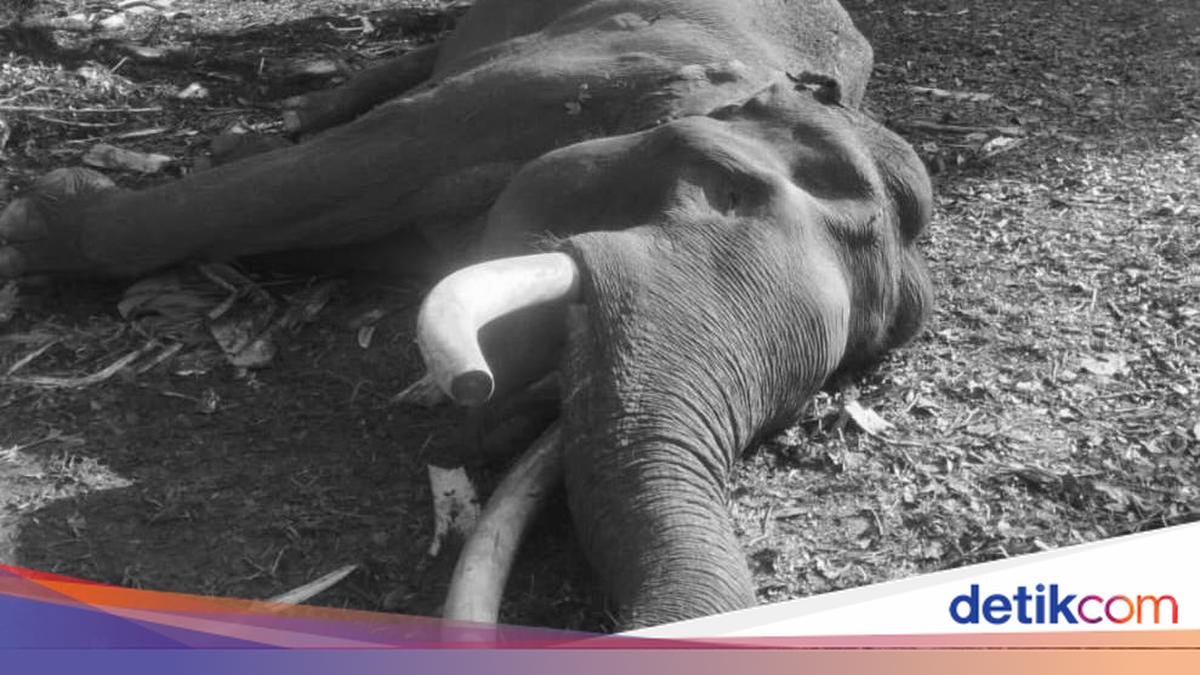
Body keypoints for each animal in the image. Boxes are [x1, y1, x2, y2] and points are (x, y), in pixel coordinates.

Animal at [0, 0, 933, 630]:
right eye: (721, 188)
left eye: (847, 366)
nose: (481, 388)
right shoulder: (576, 74)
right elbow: (348, 169)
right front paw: (35, 222)